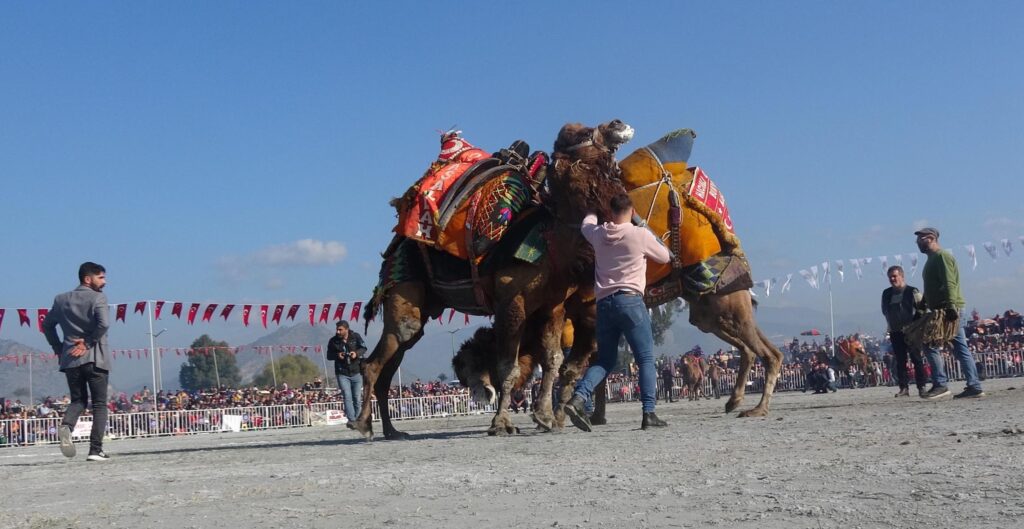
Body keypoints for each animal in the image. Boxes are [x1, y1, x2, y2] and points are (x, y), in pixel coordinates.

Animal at [352, 121, 630, 439]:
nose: (618, 124)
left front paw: (545, 417)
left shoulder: (553, 306)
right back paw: (363, 425)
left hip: (422, 311)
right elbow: (507, 367)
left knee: (390, 363)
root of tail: (394, 247)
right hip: (404, 289)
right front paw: (502, 423)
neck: (551, 244)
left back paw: (391, 430)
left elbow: (553, 360)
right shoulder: (512, 301)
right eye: (582, 136)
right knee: (376, 359)